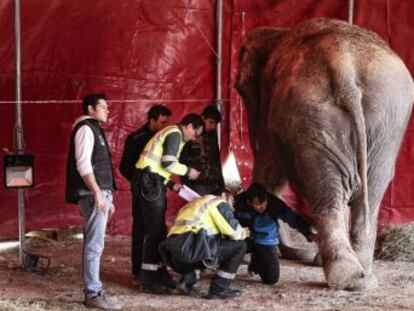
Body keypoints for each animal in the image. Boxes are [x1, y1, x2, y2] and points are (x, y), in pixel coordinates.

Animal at [236, 18, 414, 292]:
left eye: (240, 90)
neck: (277, 34)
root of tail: (342, 64)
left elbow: (269, 172)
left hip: (318, 114)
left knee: (330, 195)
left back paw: (345, 276)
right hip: (383, 120)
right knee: (368, 192)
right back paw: (362, 278)